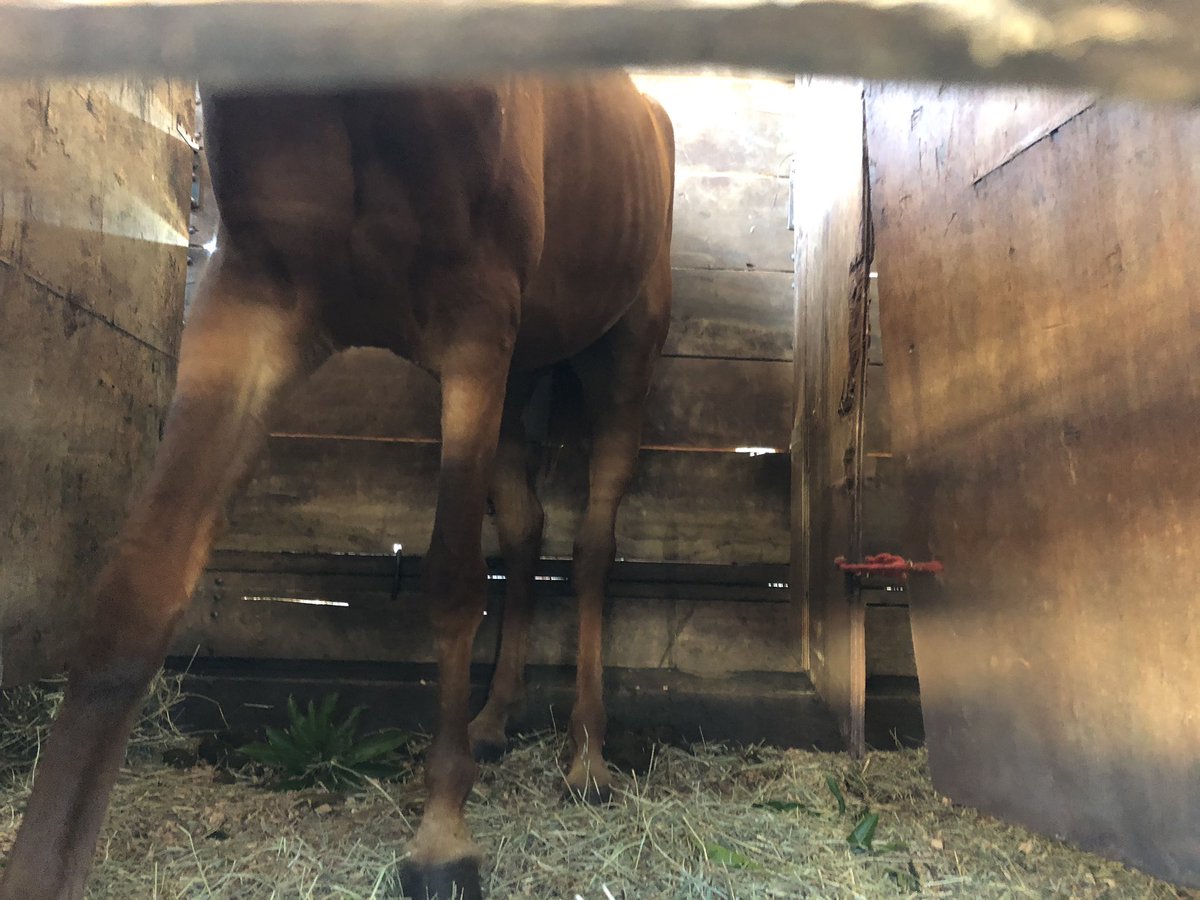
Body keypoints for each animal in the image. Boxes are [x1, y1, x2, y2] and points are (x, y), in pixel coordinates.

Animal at [0, 72, 676, 900]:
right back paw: (493, 721)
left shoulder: (476, 325)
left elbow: (453, 583)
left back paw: (586, 759)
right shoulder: (252, 305)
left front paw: (442, 839)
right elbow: (139, 592)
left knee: (591, 550)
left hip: (622, 363)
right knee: (524, 528)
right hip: (523, 370)